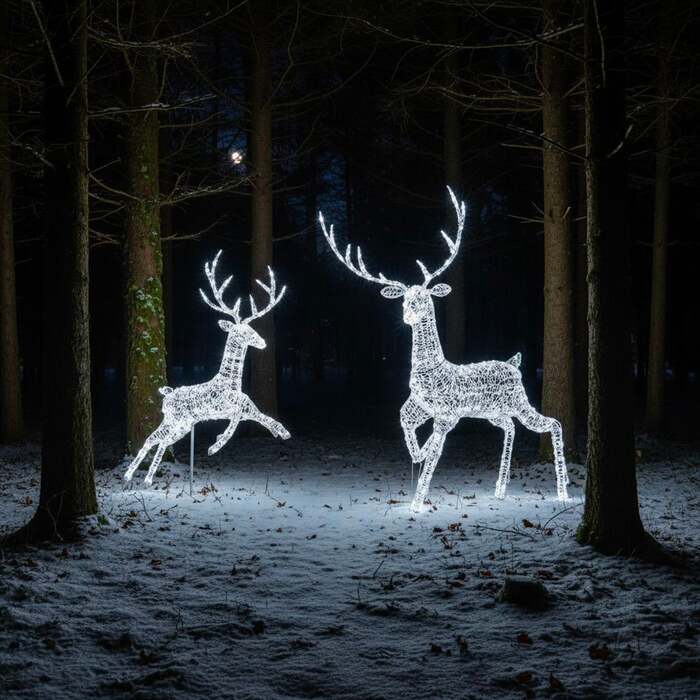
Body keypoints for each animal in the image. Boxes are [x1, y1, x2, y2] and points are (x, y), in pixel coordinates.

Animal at [124, 251, 290, 486]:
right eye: (244, 331)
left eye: (252, 328)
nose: (263, 342)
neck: (231, 383)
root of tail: (167, 394)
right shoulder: (228, 407)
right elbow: (237, 419)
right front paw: (215, 445)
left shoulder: (245, 406)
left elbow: (262, 416)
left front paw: (282, 432)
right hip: (180, 421)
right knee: (160, 440)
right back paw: (143, 477)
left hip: (175, 422)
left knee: (153, 439)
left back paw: (134, 476)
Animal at [319, 188, 569, 512]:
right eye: (404, 299)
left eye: (424, 297)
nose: (407, 316)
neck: (432, 371)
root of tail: (514, 363)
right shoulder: (417, 405)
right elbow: (405, 425)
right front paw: (419, 454)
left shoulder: (447, 414)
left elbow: (436, 452)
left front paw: (416, 504)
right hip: (492, 411)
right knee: (510, 428)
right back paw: (500, 490)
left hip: (518, 402)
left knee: (553, 423)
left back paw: (563, 493)